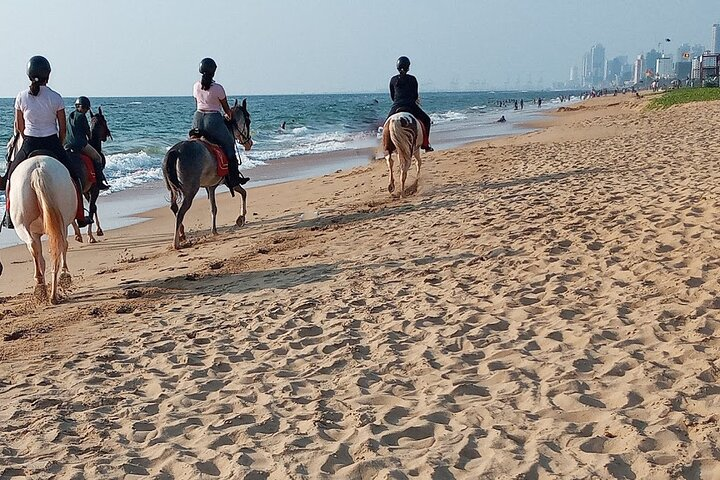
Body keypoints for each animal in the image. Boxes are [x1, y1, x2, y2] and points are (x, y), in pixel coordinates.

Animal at [8, 156, 76, 302]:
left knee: (34, 246)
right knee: (57, 247)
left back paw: (42, 285)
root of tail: (37, 169)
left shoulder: (34, 232)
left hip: (22, 226)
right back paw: (54, 290)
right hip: (59, 224)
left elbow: (41, 259)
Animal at [162, 100, 253, 253]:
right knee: (180, 212)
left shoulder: (211, 187)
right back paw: (176, 243)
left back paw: (182, 234)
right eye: (248, 120)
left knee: (174, 208)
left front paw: (214, 230)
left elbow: (213, 208)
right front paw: (241, 217)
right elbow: (244, 193)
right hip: (190, 191)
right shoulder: (230, 182)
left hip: (172, 190)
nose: (249, 143)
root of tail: (176, 151)